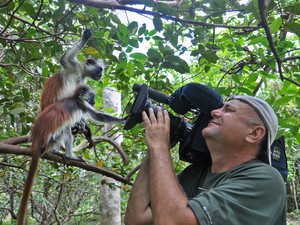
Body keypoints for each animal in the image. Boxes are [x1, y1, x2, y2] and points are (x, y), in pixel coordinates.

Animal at [17, 85, 125, 225]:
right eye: (92, 96)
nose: (94, 101)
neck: (75, 98)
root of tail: (37, 138)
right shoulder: (83, 104)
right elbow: (98, 116)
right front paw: (125, 119)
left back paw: (53, 151)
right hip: (51, 136)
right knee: (66, 128)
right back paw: (69, 155)